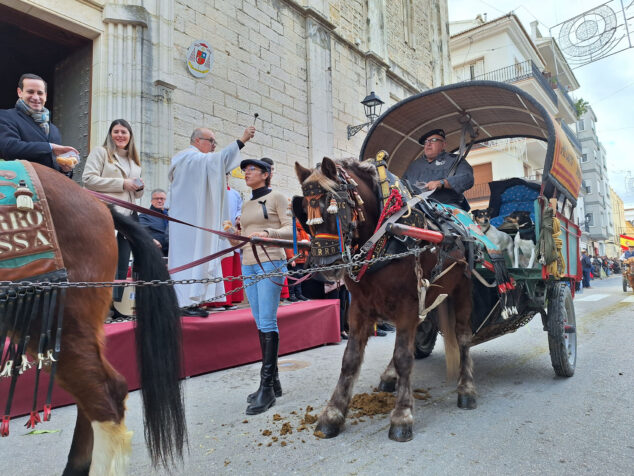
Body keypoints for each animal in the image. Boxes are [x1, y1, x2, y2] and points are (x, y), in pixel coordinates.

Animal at [296, 157, 474, 442]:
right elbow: (350, 360)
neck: (386, 232)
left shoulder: (408, 306)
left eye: (335, 207)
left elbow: (404, 357)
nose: (324, 267)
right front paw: (333, 414)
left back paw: (466, 389)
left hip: (462, 290)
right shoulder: (359, 308)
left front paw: (402, 416)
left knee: (463, 337)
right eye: (304, 210)